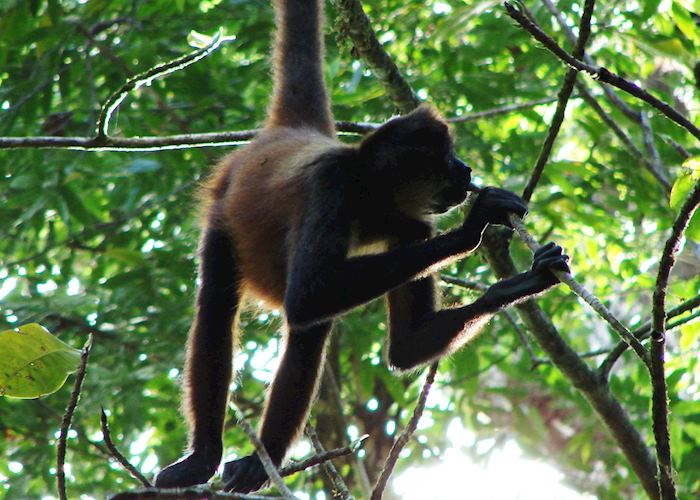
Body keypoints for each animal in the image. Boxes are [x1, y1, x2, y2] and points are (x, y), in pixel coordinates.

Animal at [154, 0, 569, 493]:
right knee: (223, 304)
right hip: (224, 205)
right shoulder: (330, 184)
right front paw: (474, 227)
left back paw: (260, 460)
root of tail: (292, 134)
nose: (466, 168)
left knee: (308, 331)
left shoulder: (412, 226)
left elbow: (403, 347)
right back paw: (205, 458)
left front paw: (520, 283)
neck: (366, 195)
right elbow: (309, 295)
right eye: (448, 159)